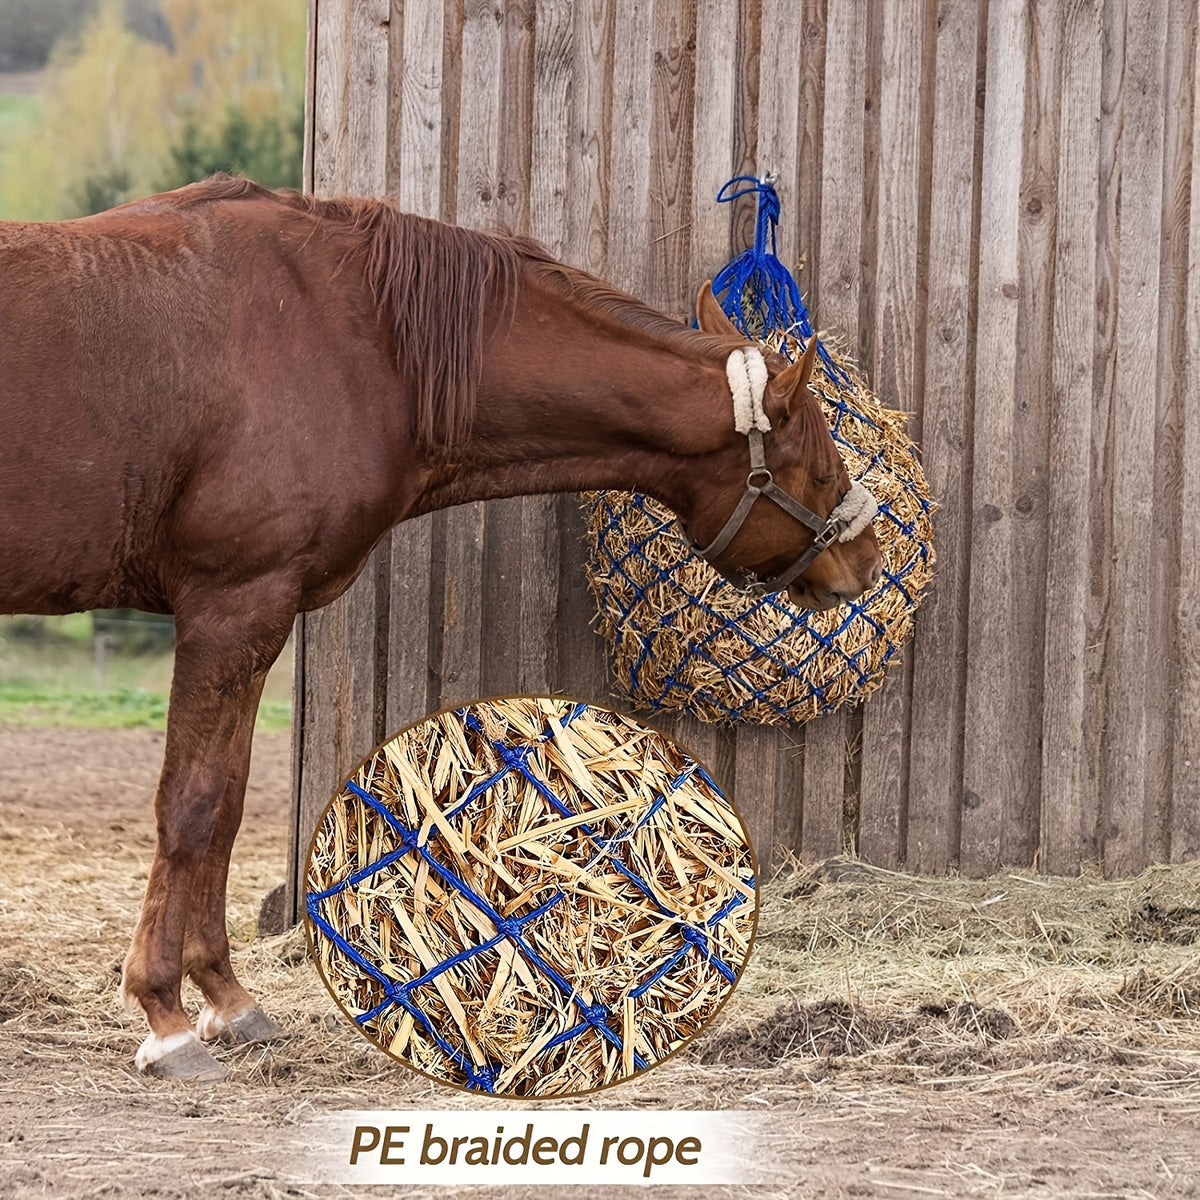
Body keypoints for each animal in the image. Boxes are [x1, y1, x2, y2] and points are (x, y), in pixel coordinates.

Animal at [0, 175, 881, 1080]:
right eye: (819, 468)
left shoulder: (251, 621)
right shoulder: (231, 605)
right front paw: (165, 1017)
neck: (355, 340)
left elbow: (231, 802)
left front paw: (228, 1000)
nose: (867, 562)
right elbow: (193, 805)